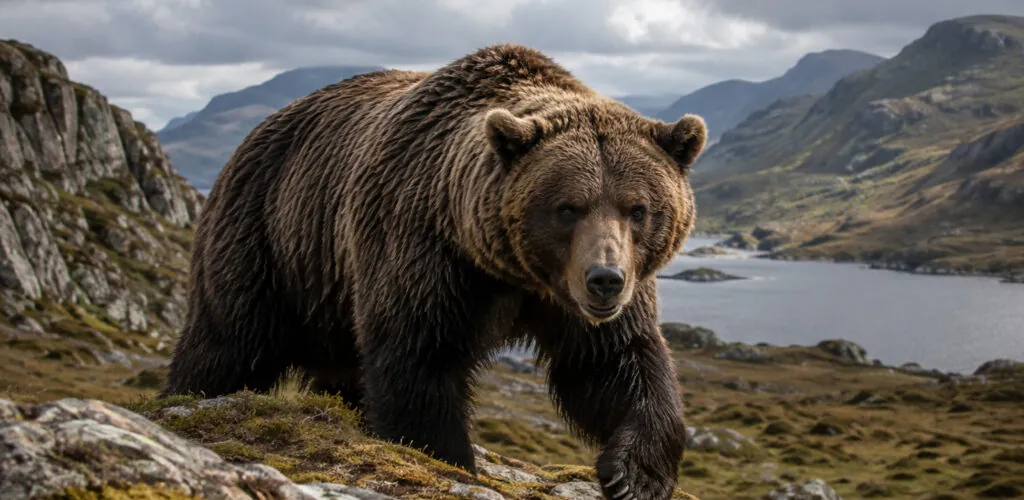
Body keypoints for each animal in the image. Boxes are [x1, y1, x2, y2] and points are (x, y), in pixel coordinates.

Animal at [162, 44, 707, 500]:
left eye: (638, 209)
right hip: (269, 237)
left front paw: (634, 475)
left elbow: (615, 362)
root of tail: (257, 132)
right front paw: (448, 459)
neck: (510, 271)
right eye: (568, 208)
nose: (605, 279)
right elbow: (419, 360)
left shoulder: (576, 299)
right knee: (228, 342)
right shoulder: (424, 249)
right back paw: (188, 393)